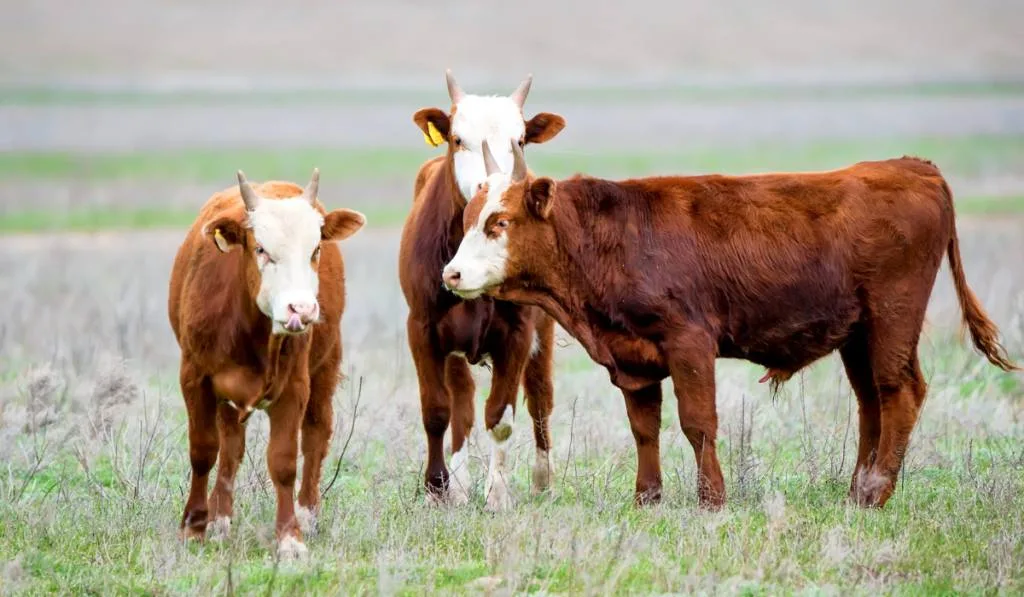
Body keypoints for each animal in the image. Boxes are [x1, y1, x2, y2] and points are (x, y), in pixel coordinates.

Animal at [172, 168, 368, 561]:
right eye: (261, 249)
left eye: (315, 249)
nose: (302, 309)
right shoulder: (194, 379)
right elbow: (203, 451)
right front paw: (195, 527)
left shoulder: (294, 388)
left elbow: (284, 461)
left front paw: (290, 537)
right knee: (230, 449)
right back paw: (220, 519)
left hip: (325, 367)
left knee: (316, 436)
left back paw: (307, 514)